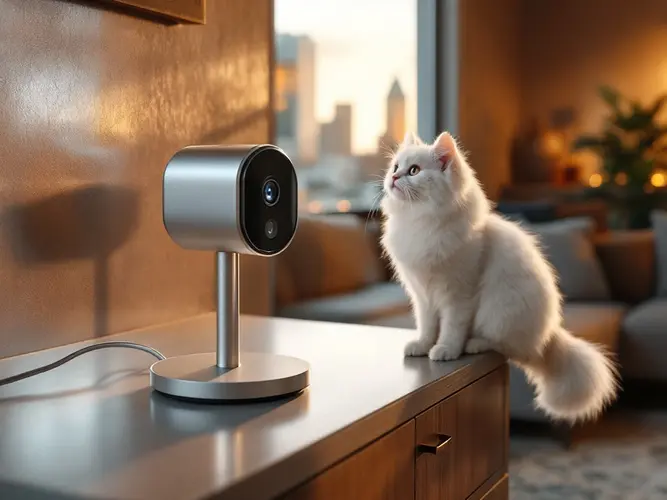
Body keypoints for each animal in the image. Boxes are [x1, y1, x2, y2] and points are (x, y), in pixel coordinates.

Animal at [380, 130, 620, 422]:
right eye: (395, 167)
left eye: (413, 170)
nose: (393, 178)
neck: (419, 222)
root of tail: (549, 334)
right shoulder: (422, 296)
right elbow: (427, 327)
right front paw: (422, 346)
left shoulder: (458, 294)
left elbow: (451, 328)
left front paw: (445, 350)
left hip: (499, 313)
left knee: (501, 346)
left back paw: (473, 344)